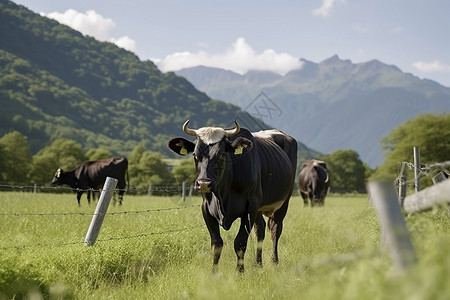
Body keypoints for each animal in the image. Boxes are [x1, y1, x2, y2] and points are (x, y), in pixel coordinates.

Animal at [167, 119, 298, 272]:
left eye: (222, 154)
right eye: (195, 155)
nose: (204, 183)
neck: (223, 196)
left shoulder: (250, 206)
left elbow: (240, 242)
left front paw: (239, 272)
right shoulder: (206, 208)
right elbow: (216, 243)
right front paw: (213, 272)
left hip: (283, 202)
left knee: (275, 229)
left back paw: (274, 261)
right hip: (259, 207)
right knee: (260, 229)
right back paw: (258, 264)